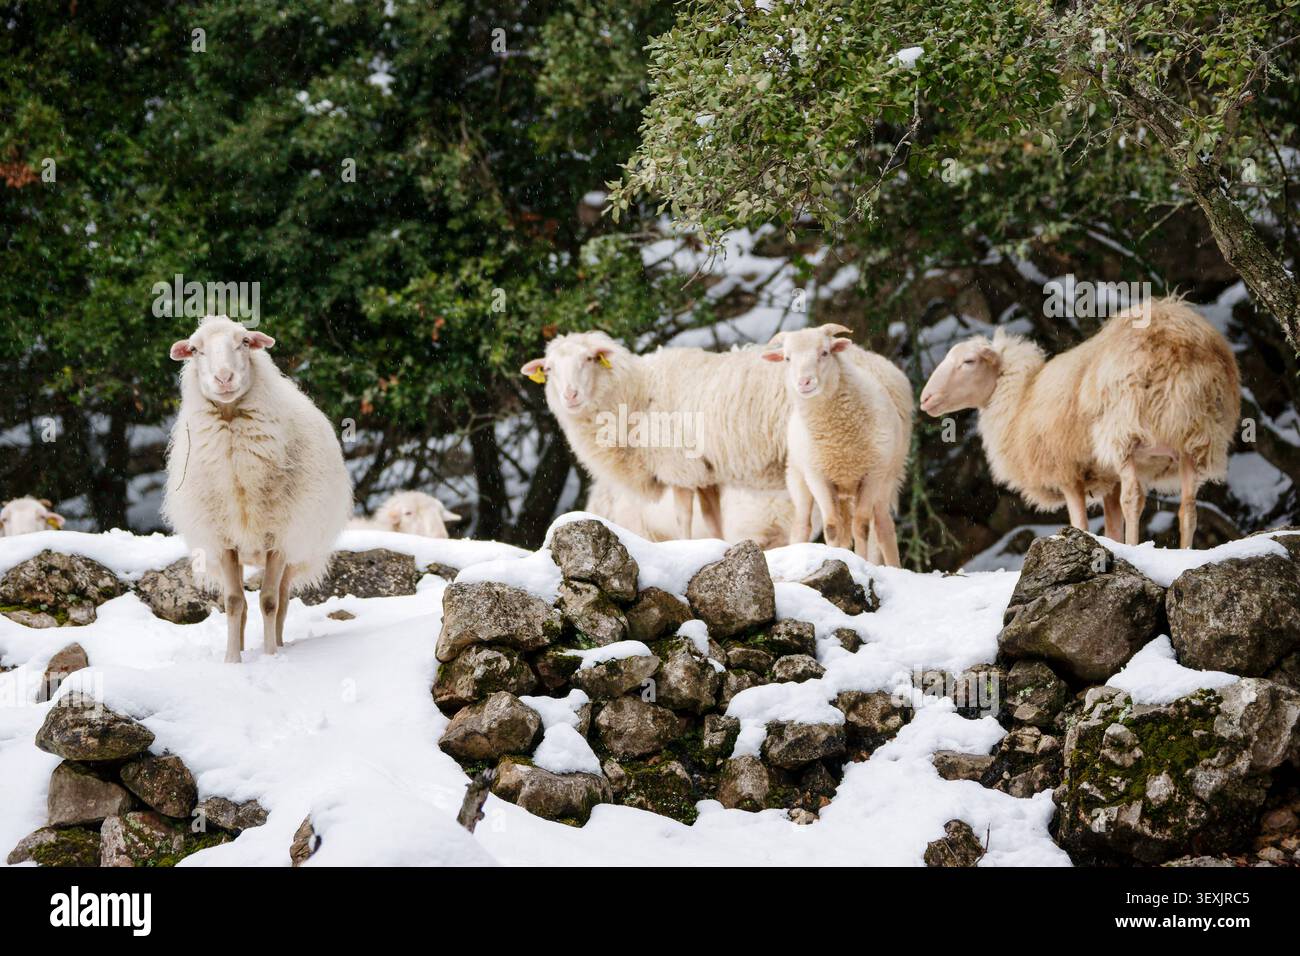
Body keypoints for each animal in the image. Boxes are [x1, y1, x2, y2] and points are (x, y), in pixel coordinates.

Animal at [162, 315, 352, 662]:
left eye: (245, 342)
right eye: (195, 349)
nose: (224, 377)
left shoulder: (279, 538)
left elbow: (270, 602)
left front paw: (270, 656)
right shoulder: (224, 540)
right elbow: (234, 603)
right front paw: (232, 661)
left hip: (296, 548)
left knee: (282, 600)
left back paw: (278, 643)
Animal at [521, 331, 791, 540]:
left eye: (589, 359)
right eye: (548, 369)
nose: (570, 395)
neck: (638, 394)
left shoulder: (678, 467)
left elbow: (683, 518)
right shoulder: (706, 475)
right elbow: (712, 520)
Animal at [761, 325, 913, 565]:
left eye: (824, 352)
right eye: (787, 358)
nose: (804, 382)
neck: (839, 442)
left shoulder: (872, 475)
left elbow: (861, 526)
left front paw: (861, 560)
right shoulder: (818, 477)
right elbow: (832, 526)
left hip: (887, 479)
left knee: (882, 525)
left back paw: (894, 566)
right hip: (798, 478)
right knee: (803, 525)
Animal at [919, 297, 1239, 548]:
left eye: (968, 362)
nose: (925, 398)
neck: (1020, 400)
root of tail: (1177, 338)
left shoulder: (1067, 472)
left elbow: (1081, 525)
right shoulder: (1107, 480)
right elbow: (1112, 529)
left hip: (1124, 430)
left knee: (1134, 498)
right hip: (1196, 436)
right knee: (1188, 508)